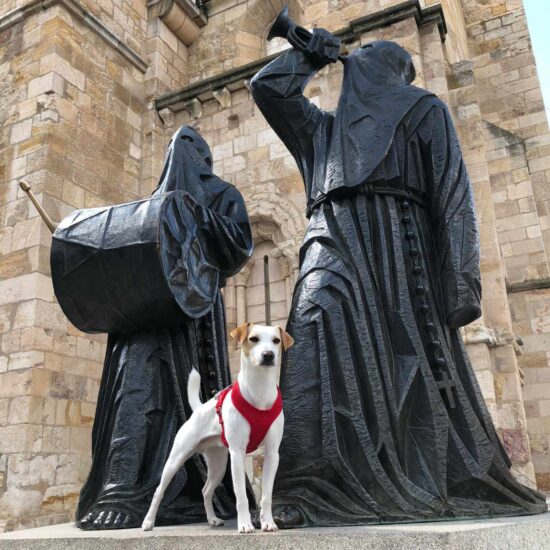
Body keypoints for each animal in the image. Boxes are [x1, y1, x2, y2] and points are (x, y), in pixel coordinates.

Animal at [144, 324, 296, 536]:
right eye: (253, 339)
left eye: (276, 341)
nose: (268, 355)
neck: (259, 391)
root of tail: (199, 409)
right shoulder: (237, 454)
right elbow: (241, 495)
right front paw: (245, 525)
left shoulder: (272, 454)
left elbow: (266, 495)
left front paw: (268, 522)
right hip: (176, 459)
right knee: (159, 491)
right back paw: (148, 522)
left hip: (218, 465)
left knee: (206, 490)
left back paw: (212, 519)